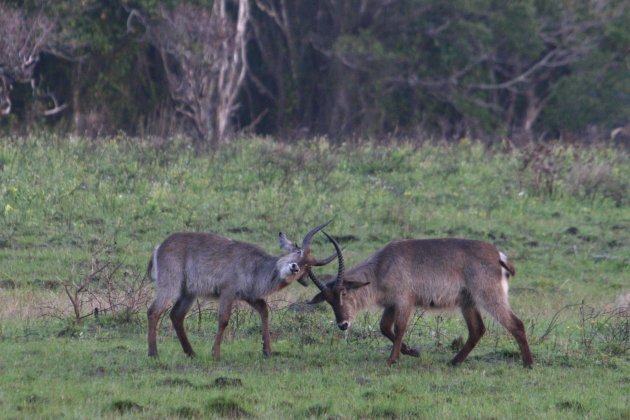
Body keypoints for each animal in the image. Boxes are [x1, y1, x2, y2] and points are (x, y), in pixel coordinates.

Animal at [148, 221, 336, 360]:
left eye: (307, 267)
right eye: (299, 252)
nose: (295, 267)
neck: (256, 266)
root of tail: (160, 246)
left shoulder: (248, 296)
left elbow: (264, 310)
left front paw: (267, 351)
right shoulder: (228, 291)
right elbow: (224, 319)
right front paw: (215, 354)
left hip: (188, 292)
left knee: (176, 315)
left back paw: (191, 353)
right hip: (171, 284)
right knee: (154, 311)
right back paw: (153, 353)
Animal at [310, 233, 532, 368]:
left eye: (343, 293)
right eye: (328, 300)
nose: (343, 324)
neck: (382, 266)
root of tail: (498, 255)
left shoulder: (404, 301)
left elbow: (398, 328)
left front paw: (392, 359)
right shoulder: (391, 304)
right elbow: (384, 328)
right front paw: (412, 351)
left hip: (488, 296)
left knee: (516, 324)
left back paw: (528, 363)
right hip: (468, 302)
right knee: (477, 330)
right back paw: (454, 362)